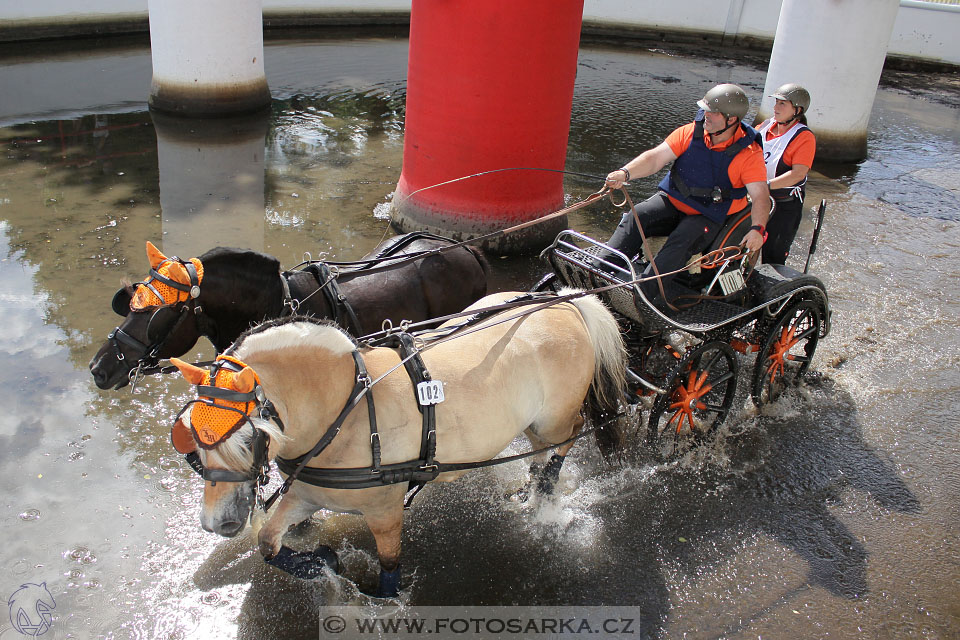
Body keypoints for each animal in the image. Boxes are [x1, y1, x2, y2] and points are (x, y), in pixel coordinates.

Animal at [169, 292, 628, 596]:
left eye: (249, 437)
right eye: (190, 437)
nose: (217, 524)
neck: (346, 409)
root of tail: (565, 303)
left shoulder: (385, 510)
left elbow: (388, 574)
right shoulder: (307, 493)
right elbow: (268, 543)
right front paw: (321, 560)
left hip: (556, 415)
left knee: (571, 432)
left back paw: (547, 486)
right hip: (532, 418)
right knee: (538, 444)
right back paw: (531, 481)